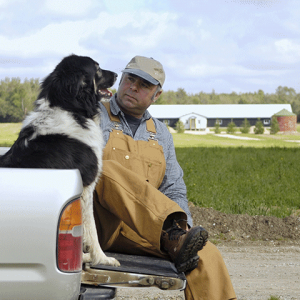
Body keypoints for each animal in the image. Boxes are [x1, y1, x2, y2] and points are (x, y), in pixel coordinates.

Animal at [1, 54, 120, 268]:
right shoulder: (86, 187)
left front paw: (87, 256)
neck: (70, 109)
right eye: (97, 69)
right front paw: (102, 258)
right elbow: (91, 229)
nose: (116, 74)